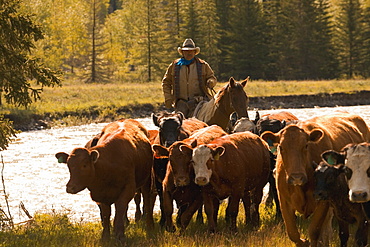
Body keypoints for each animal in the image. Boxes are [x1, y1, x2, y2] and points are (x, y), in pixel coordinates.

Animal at [260, 112, 370, 247]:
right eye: (281, 147)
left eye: (306, 145)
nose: (296, 177)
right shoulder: (283, 200)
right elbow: (292, 233)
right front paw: (303, 241)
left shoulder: (323, 202)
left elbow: (314, 231)